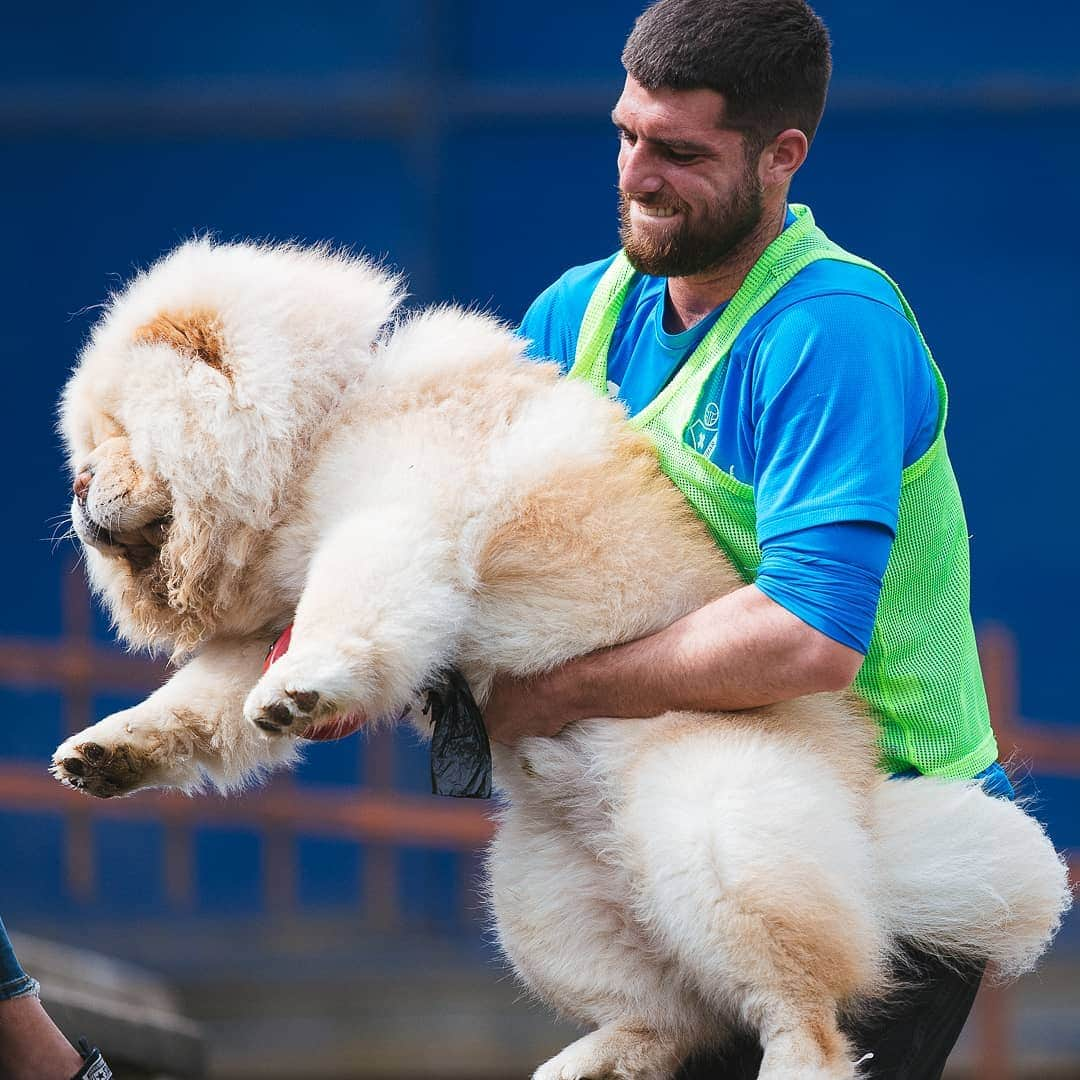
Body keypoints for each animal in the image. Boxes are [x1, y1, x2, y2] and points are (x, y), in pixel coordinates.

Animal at [52, 240, 1071, 1075]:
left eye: (117, 433)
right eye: (87, 442)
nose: (76, 484)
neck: (322, 422)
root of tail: (868, 829)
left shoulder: (398, 520)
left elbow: (353, 600)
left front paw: (300, 691)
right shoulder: (261, 624)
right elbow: (195, 704)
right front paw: (107, 752)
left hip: (716, 830)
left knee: (801, 1012)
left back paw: (781, 1058)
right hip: (537, 896)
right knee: (681, 1016)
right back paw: (593, 1061)